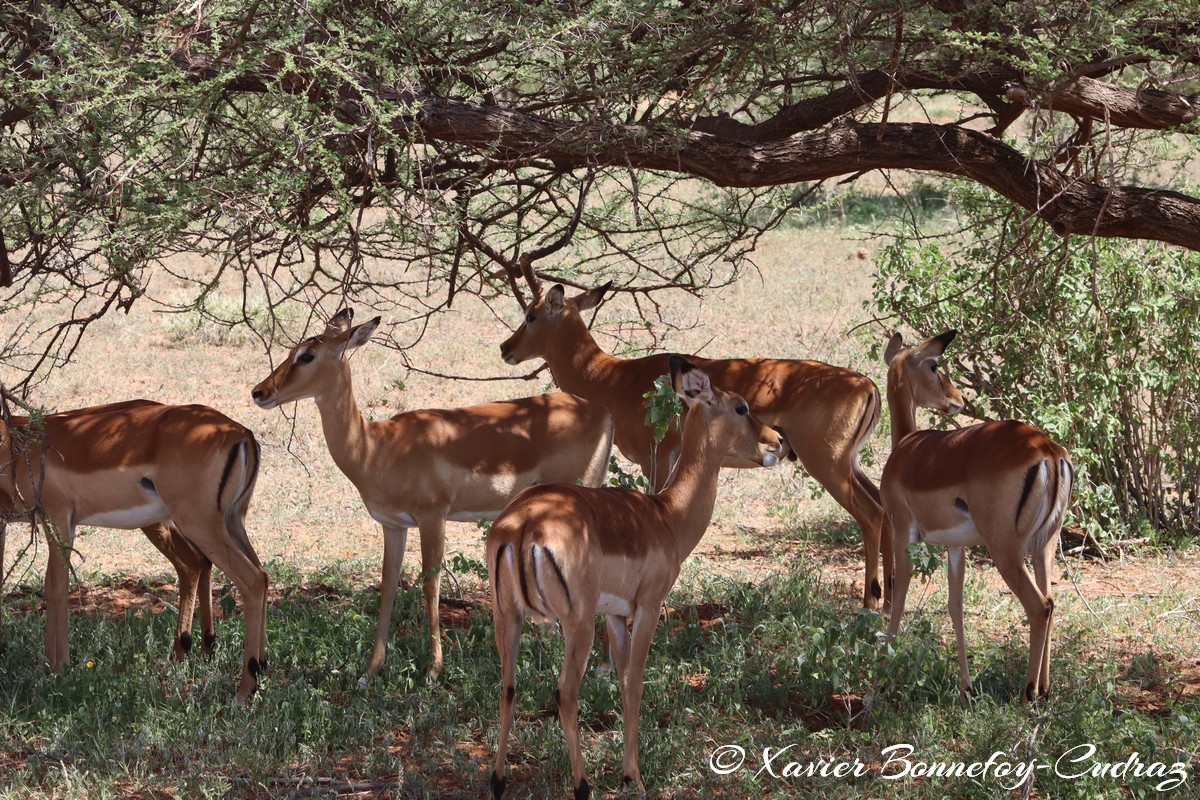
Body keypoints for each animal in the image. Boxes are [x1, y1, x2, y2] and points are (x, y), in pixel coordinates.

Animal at [0, 399, 268, 701]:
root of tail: (242, 433)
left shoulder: (59, 520)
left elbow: (57, 589)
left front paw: (59, 669)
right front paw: (47, 665)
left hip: (198, 524)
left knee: (249, 579)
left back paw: (244, 689)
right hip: (229, 522)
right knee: (256, 573)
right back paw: (252, 666)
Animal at [250, 307, 614, 685]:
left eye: (306, 355)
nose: (259, 392)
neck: (377, 447)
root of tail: (602, 412)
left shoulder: (433, 517)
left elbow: (431, 585)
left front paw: (433, 669)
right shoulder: (393, 526)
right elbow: (388, 586)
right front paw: (370, 671)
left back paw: (601, 666)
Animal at [488, 356, 788, 800]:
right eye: (741, 407)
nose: (779, 442)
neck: (667, 516)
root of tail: (524, 524)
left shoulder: (614, 614)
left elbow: (623, 678)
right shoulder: (647, 606)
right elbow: (635, 684)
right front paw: (634, 776)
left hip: (508, 617)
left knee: (507, 690)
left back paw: (498, 780)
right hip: (576, 625)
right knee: (565, 694)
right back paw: (582, 785)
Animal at [500, 282, 891, 609]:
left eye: (531, 314)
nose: (506, 348)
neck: (611, 379)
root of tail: (867, 385)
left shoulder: (655, 459)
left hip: (827, 465)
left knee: (872, 514)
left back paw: (871, 603)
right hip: (849, 465)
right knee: (887, 511)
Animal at [881, 330, 1073, 704]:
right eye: (934, 366)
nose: (956, 399)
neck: (907, 449)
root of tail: (1047, 449)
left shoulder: (902, 534)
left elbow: (898, 598)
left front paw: (877, 686)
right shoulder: (956, 547)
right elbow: (955, 606)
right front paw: (966, 690)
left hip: (1005, 550)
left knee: (1039, 606)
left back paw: (1027, 696)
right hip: (1043, 546)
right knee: (1052, 600)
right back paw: (1044, 689)